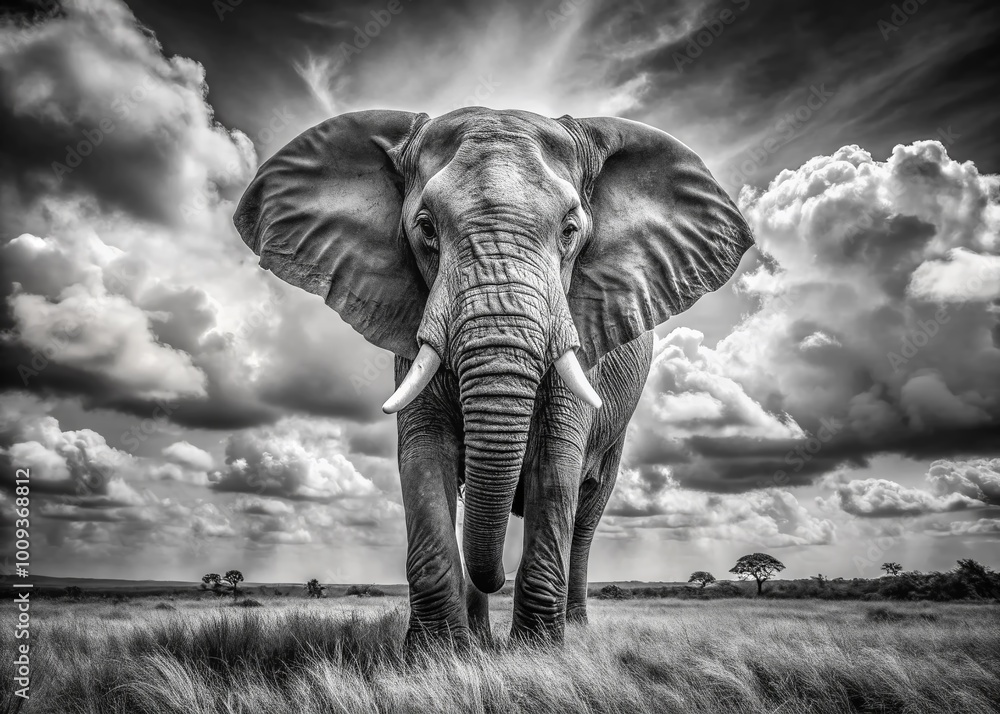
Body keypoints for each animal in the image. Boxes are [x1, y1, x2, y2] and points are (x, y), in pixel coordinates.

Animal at [233, 107, 753, 648]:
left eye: (570, 230)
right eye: (426, 228)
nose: (497, 576)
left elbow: (556, 465)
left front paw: (538, 652)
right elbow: (425, 455)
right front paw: (439, 653)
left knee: (587, 512)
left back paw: (573, 630)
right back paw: (482, 640)